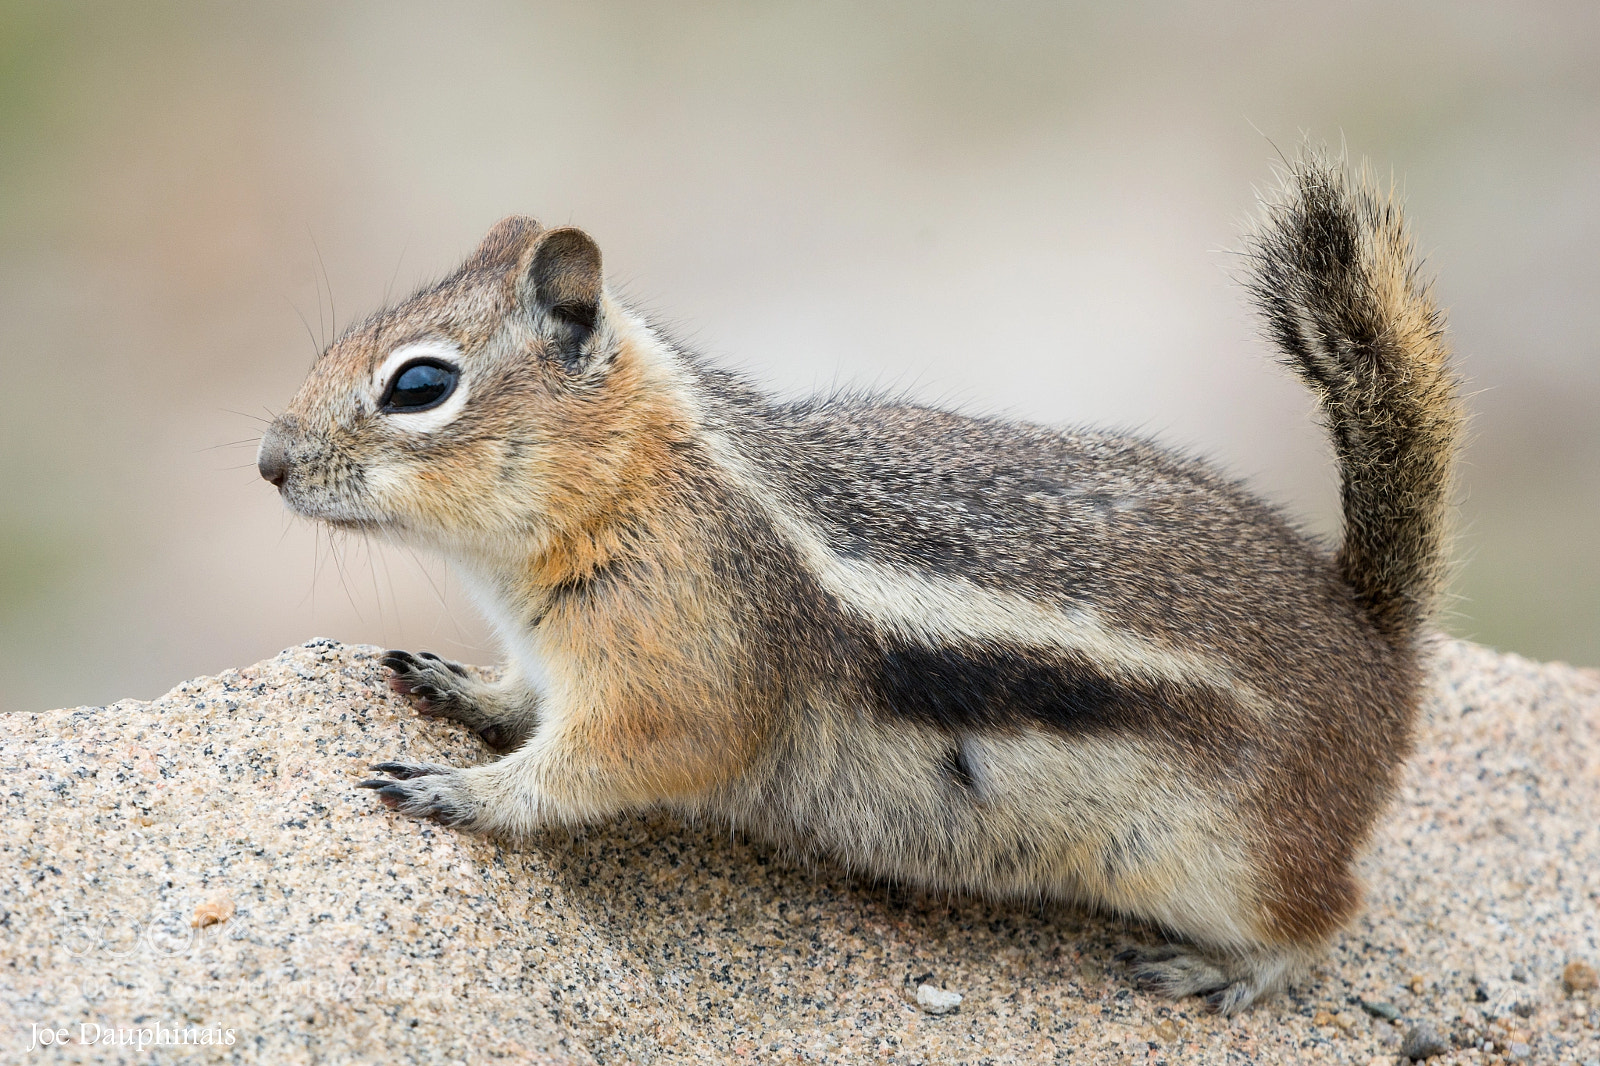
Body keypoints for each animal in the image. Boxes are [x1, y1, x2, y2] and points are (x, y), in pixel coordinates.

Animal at [257, 150, 1463, 1014]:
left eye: (420, 385)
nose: (269, 461)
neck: (644, 480)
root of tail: (1373, 634)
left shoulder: (678, 668)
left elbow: (612, 760)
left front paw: (462, 791)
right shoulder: (560, 654)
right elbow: (523, 701)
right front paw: (458, 686)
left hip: (1224, 856)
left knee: (1329, 912)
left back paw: (1238, 969)